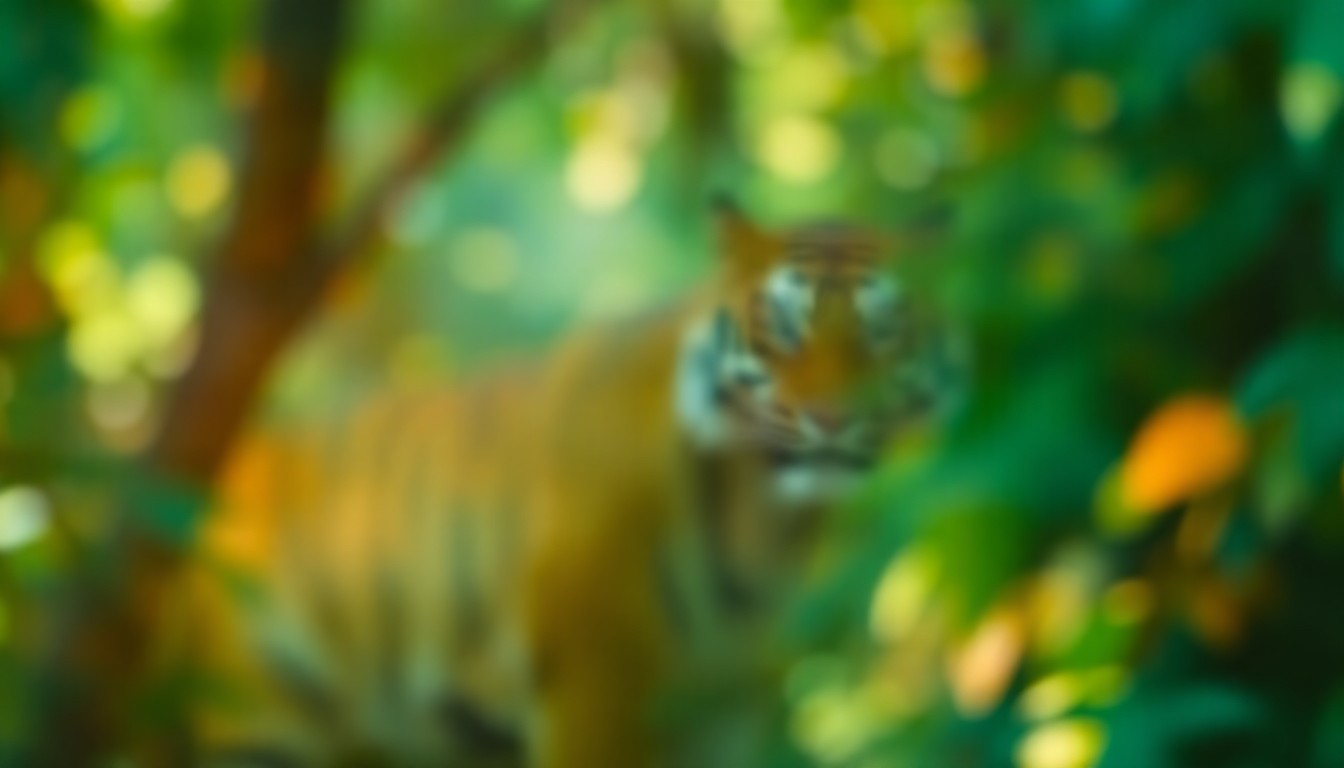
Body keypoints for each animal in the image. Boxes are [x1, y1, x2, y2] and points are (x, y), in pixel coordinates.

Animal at [164, 203, 956, 767]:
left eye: (884, 333)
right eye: (783, 331)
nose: (833, 418)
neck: (762, 518)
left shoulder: (724, 704)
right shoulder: (594, 677)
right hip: (254, 720)